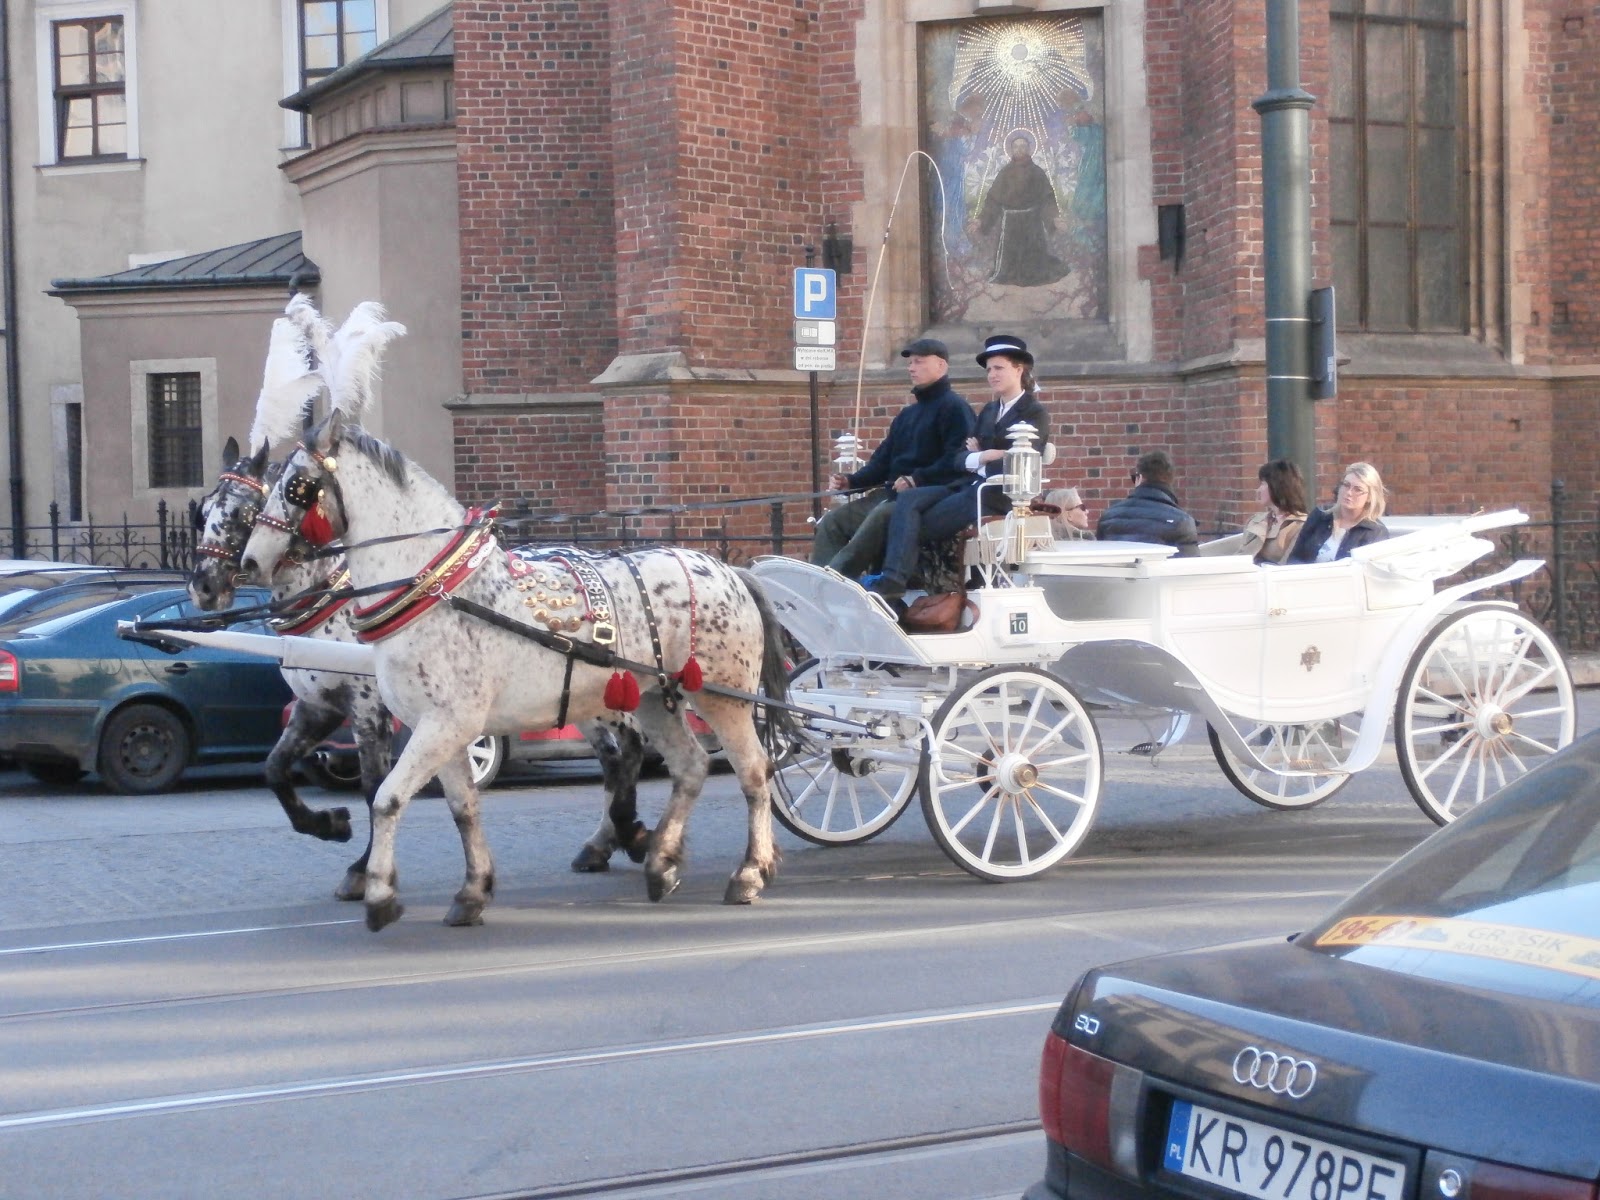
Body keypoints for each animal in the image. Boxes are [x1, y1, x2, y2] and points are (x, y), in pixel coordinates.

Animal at [237, 409, 796, 931]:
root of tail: (729, 570)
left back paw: (748, 872)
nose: (250, 561)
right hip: (656, 699)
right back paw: (661, 861)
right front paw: (472, 891)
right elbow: (463, 808)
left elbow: (386, 799)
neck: (439, 591)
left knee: (753, 772)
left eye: (296, 486)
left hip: (723, 696)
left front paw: (378, 892)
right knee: (690, 766)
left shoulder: (444, 724)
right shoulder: (438, 728)